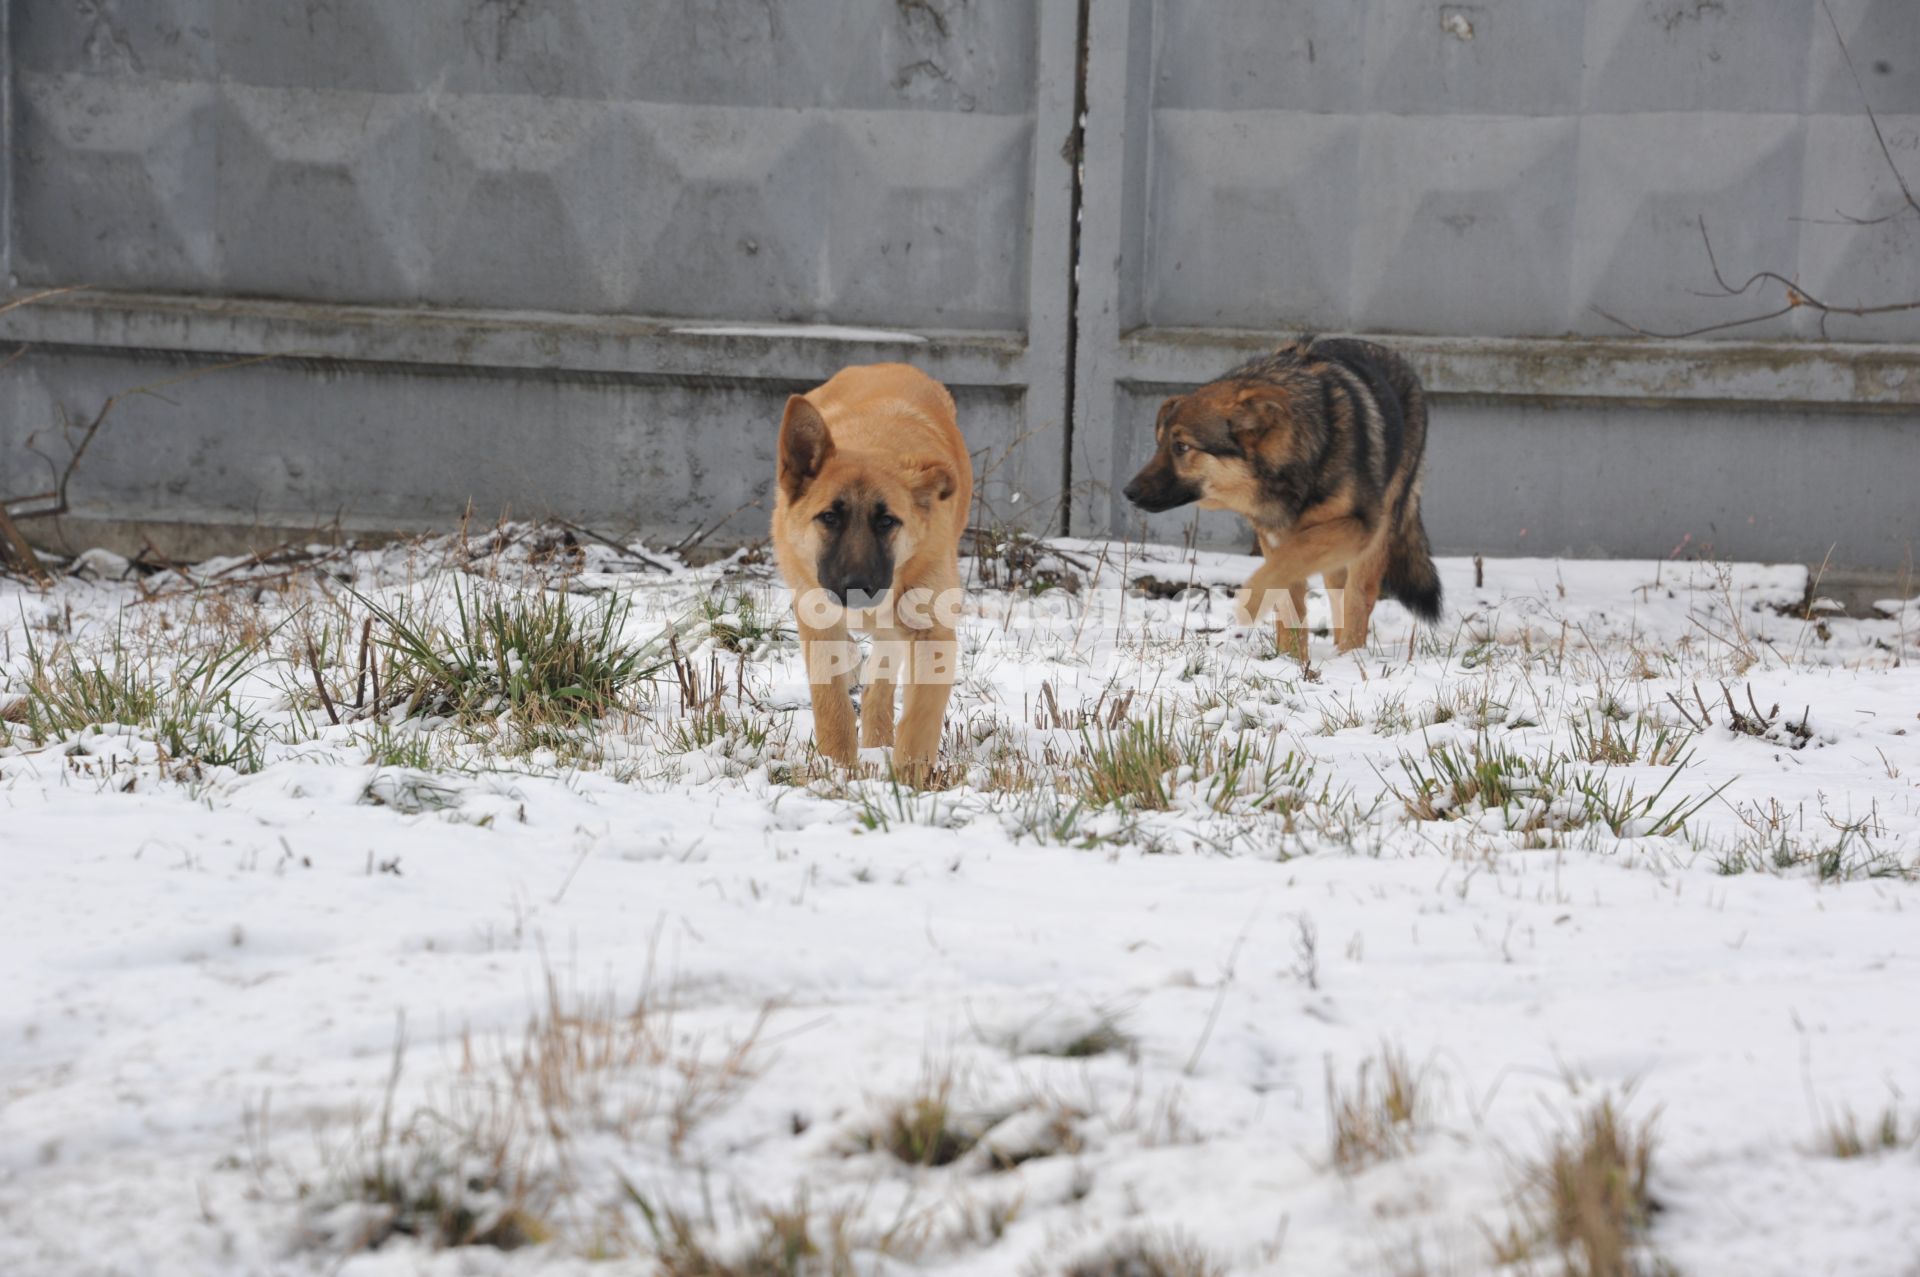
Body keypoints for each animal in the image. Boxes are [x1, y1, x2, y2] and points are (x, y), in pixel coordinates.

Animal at [768, 361, 975, 775]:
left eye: (886, 522)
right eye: (829, 517)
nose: (857, 588)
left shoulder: (932, 633)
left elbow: (919, 719)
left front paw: (909, 780)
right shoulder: (817, 618)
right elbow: (831, 705)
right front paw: (837, 770)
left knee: (881, 676)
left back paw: (879, 739)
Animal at [1121, 336, 1443, 656]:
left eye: (1181, 447)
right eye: (1159, 444)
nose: (1128, 493)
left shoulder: (1358, 526)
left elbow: (1290, 560)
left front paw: (1251, 604)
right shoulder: (1276, 539)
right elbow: (1287, 593)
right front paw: (1290, 660)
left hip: (1377, 536)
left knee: (1357, 598)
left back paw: (1351, 655)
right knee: (1337, 594)